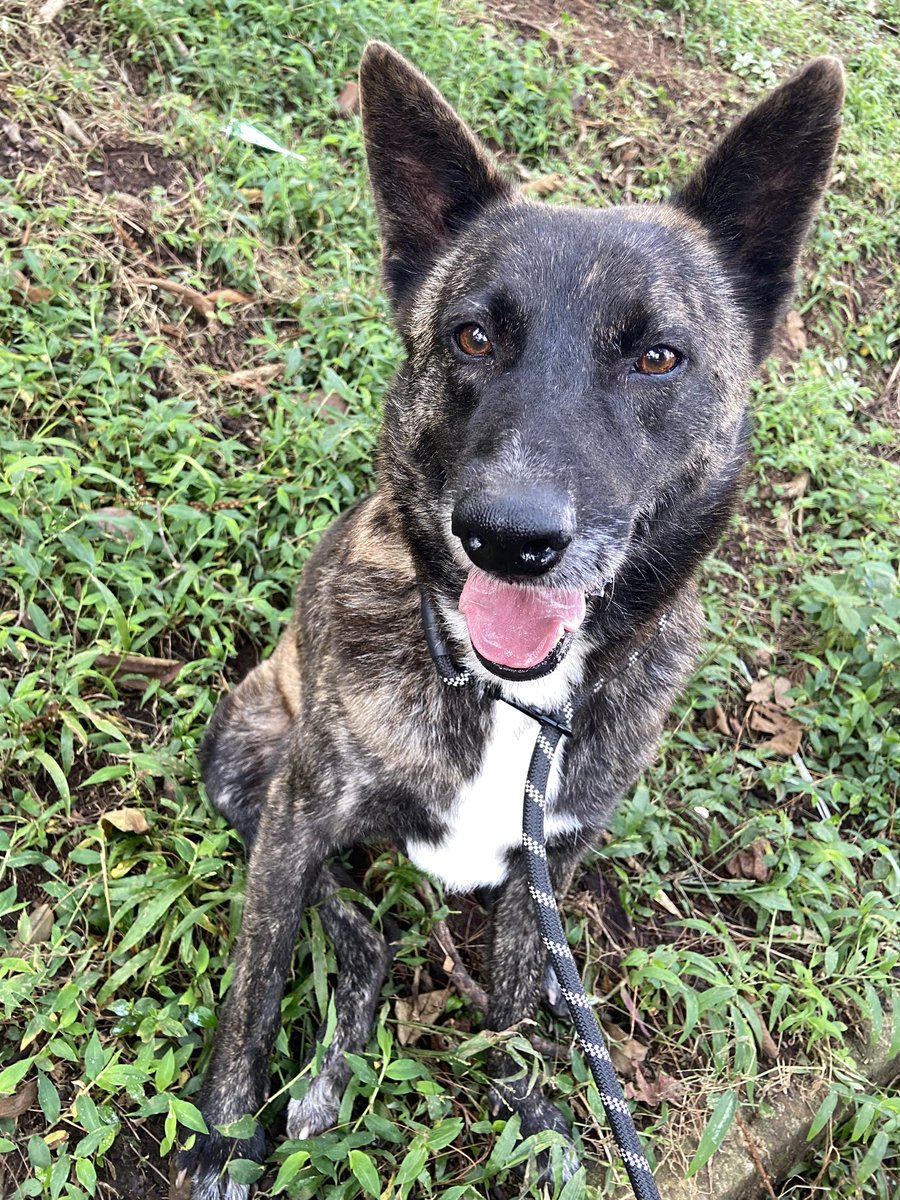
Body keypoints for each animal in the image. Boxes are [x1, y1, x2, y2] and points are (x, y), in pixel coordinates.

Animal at [182, 41, 844, 1198]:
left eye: (658, 357)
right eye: (473, 336)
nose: (508, 537)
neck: (508, 695)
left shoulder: (554, 863)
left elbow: (517, 1009)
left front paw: (531, 1115)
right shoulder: (298, 820)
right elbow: (250, 1000)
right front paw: (223, 1135)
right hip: (249, 762)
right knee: (356, 932)